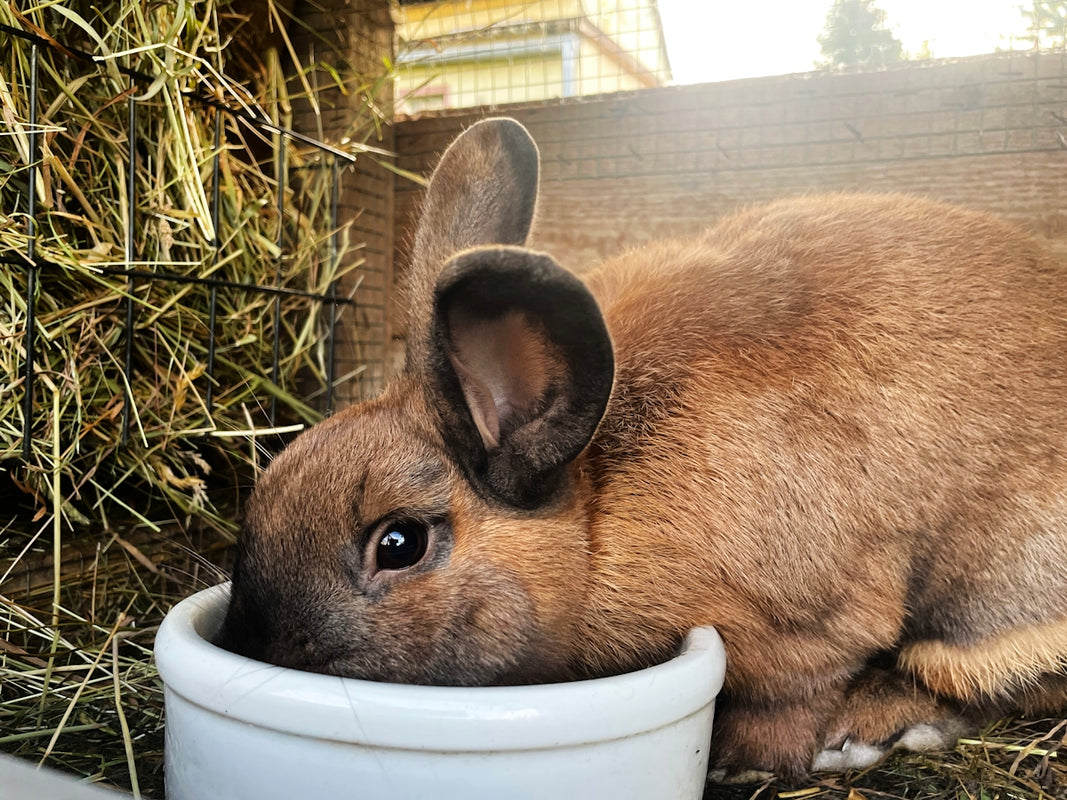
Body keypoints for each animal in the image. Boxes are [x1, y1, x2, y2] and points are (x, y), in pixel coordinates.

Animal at [219, 116, 1067, 780]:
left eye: (398, 544)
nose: (253, 643)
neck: (597, 509)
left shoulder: (816, 627)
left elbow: (792, 698)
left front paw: (744, 760)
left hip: (987, 608)